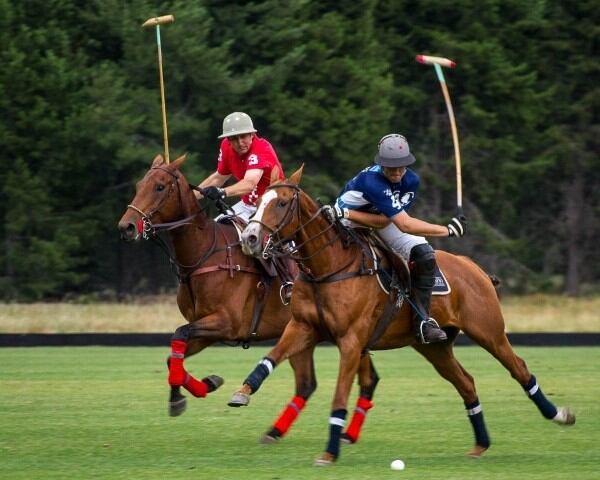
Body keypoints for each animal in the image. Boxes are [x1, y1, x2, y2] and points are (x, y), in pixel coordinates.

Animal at [115, 152, 382, 430]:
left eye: (159, 187)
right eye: (138, 186)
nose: (126, 227)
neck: (204, 254)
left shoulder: (226, 322)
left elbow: (179, 333)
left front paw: (191, 392)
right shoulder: (208, 330)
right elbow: (173, 354)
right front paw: (201, 387)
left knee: (360, 378)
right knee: (323, 381)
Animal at [227, 166, 576, 464]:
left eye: (282, 202)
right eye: (259, 201)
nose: (250, 239)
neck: (327, 268)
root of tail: (474, 267)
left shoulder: (351, 340)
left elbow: (339, 395)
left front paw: (329, 452)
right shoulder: (302, 326)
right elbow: (271, 356)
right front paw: (242, 393)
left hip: (489, 331)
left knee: (519, 369)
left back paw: (558, 415)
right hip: (434, 347)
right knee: (466, 382)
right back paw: (481, 444)